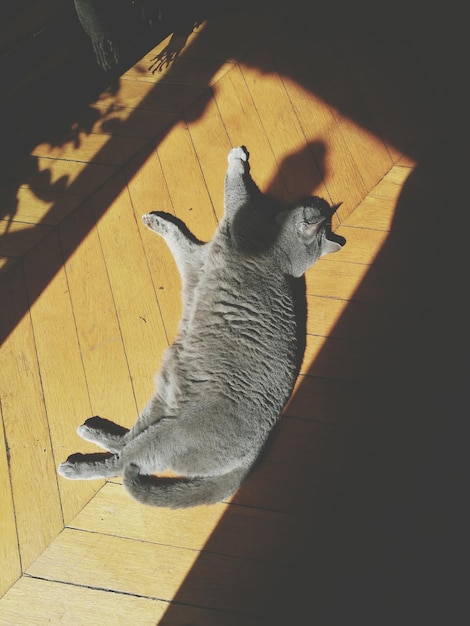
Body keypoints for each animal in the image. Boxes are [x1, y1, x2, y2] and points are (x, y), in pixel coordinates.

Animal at [57, 146, 346, 508]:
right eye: (317, 207)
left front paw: (238, 159)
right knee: (128, 441)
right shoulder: (196, 262)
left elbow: (235, 190)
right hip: (160, 402)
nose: (319, 200)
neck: (286, 257)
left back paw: (73, 467)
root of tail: (254, 453)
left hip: (171, 432)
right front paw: (157, 222)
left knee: (125, 461)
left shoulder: (233, 225)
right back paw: (91, 431)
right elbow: (180, 238)